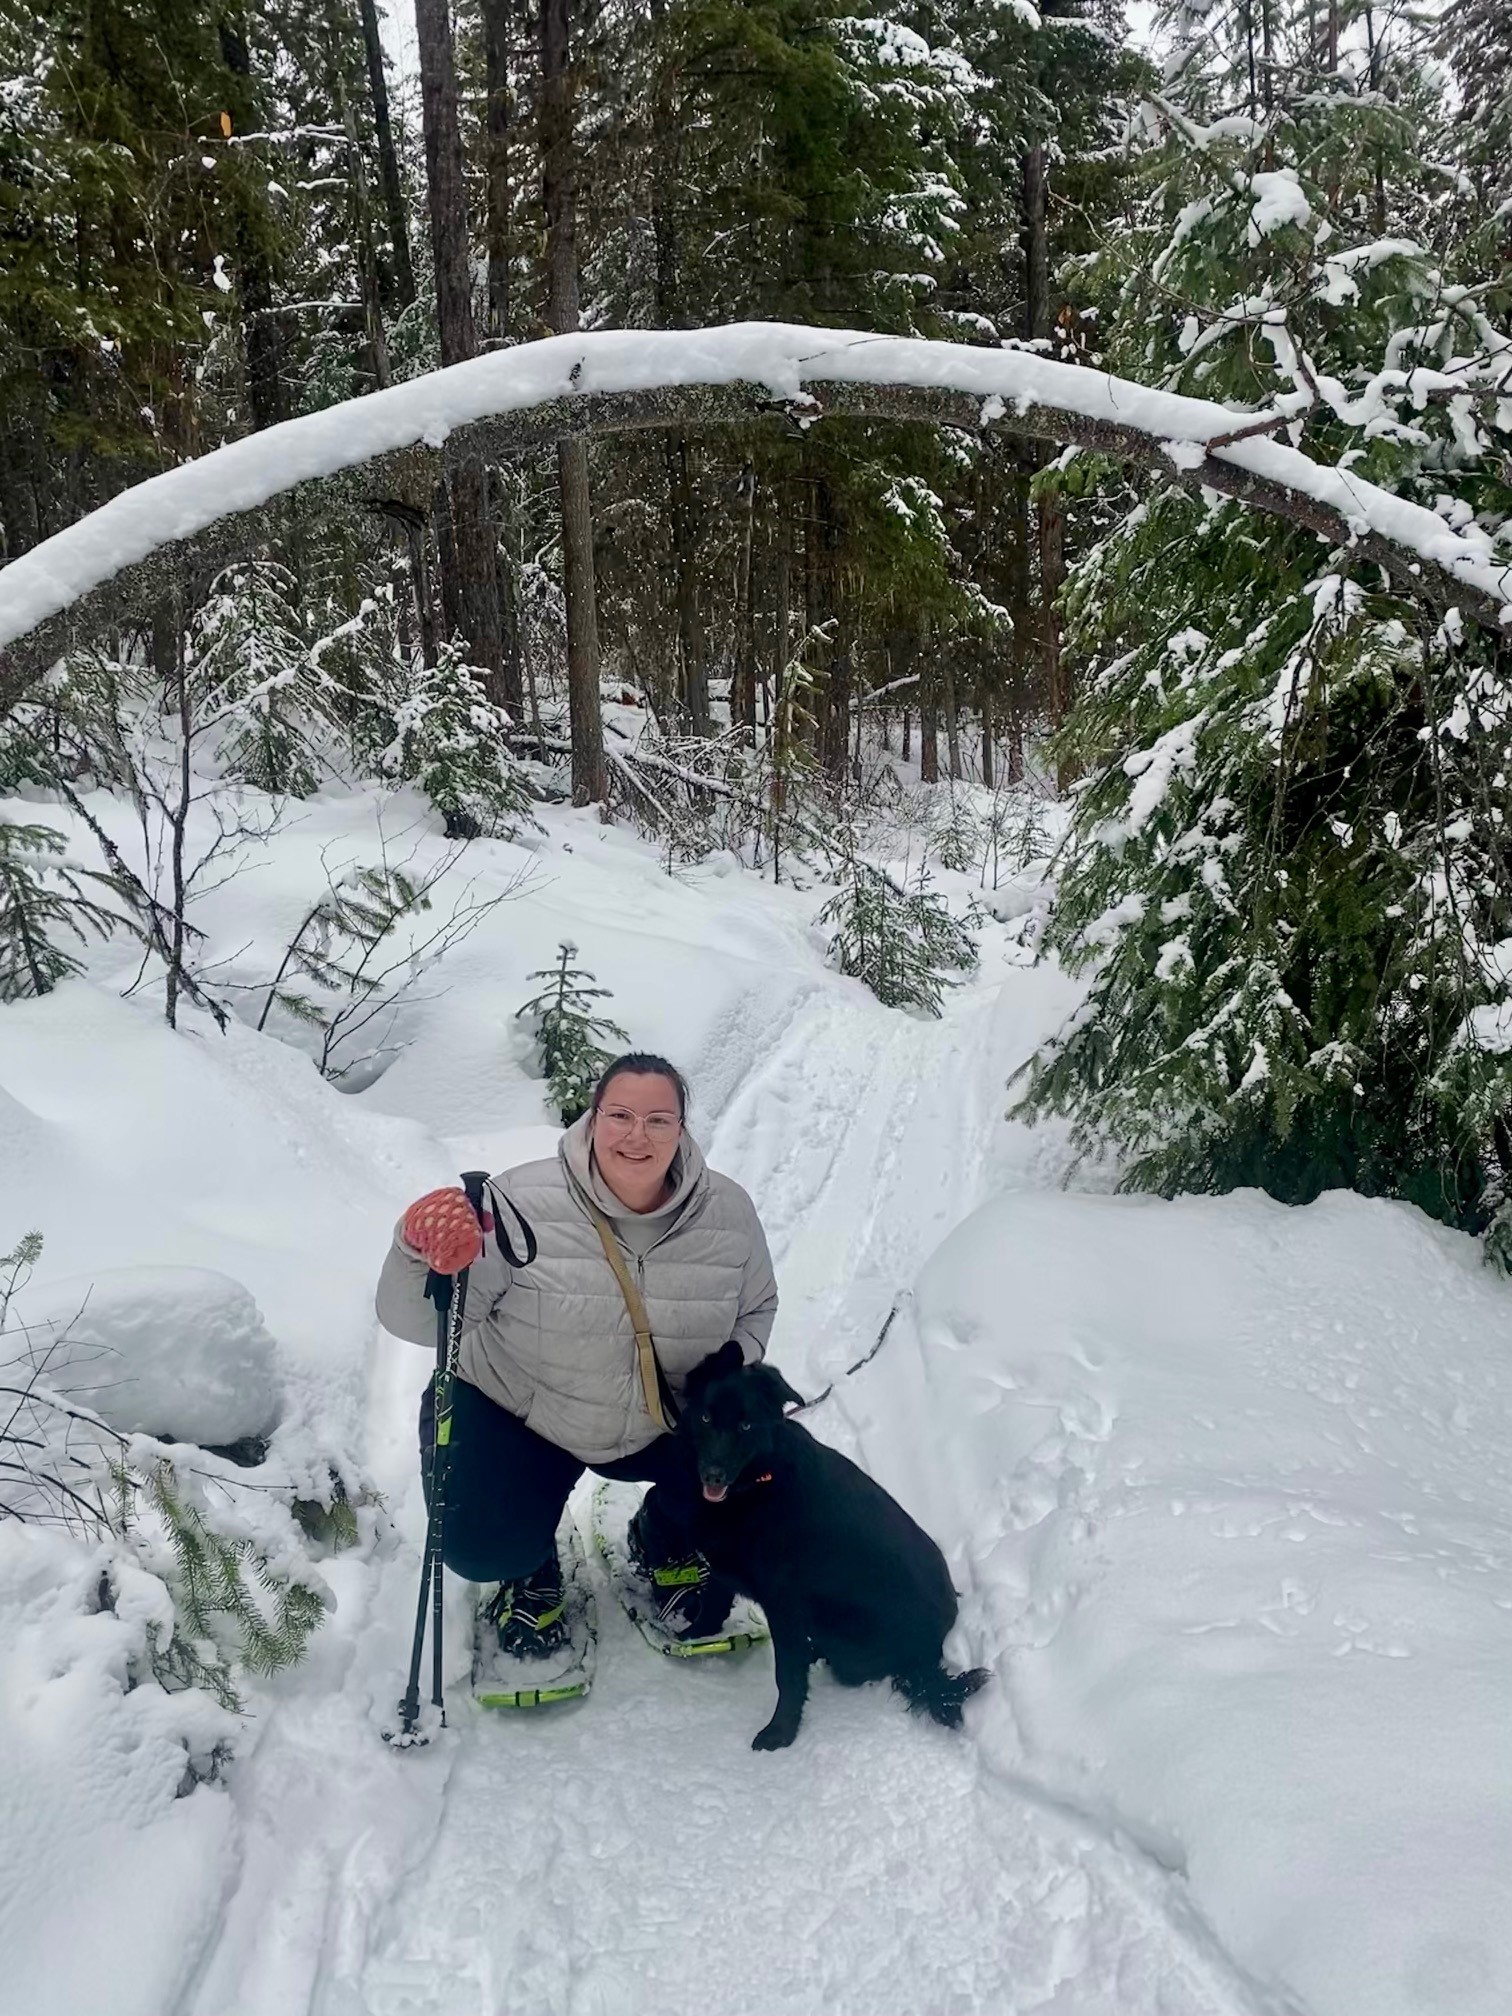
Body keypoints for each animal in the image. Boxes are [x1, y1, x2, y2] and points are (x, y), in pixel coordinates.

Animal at [681, 1346, 987, 1757]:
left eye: (746, 1427)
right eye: (705, 1417)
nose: (712, 1474)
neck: (758, 1483)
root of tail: (928, 1650)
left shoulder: (785, 1604)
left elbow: (787, 1676)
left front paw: (781, 1732)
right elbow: (714, 1601)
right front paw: (691, 1637)